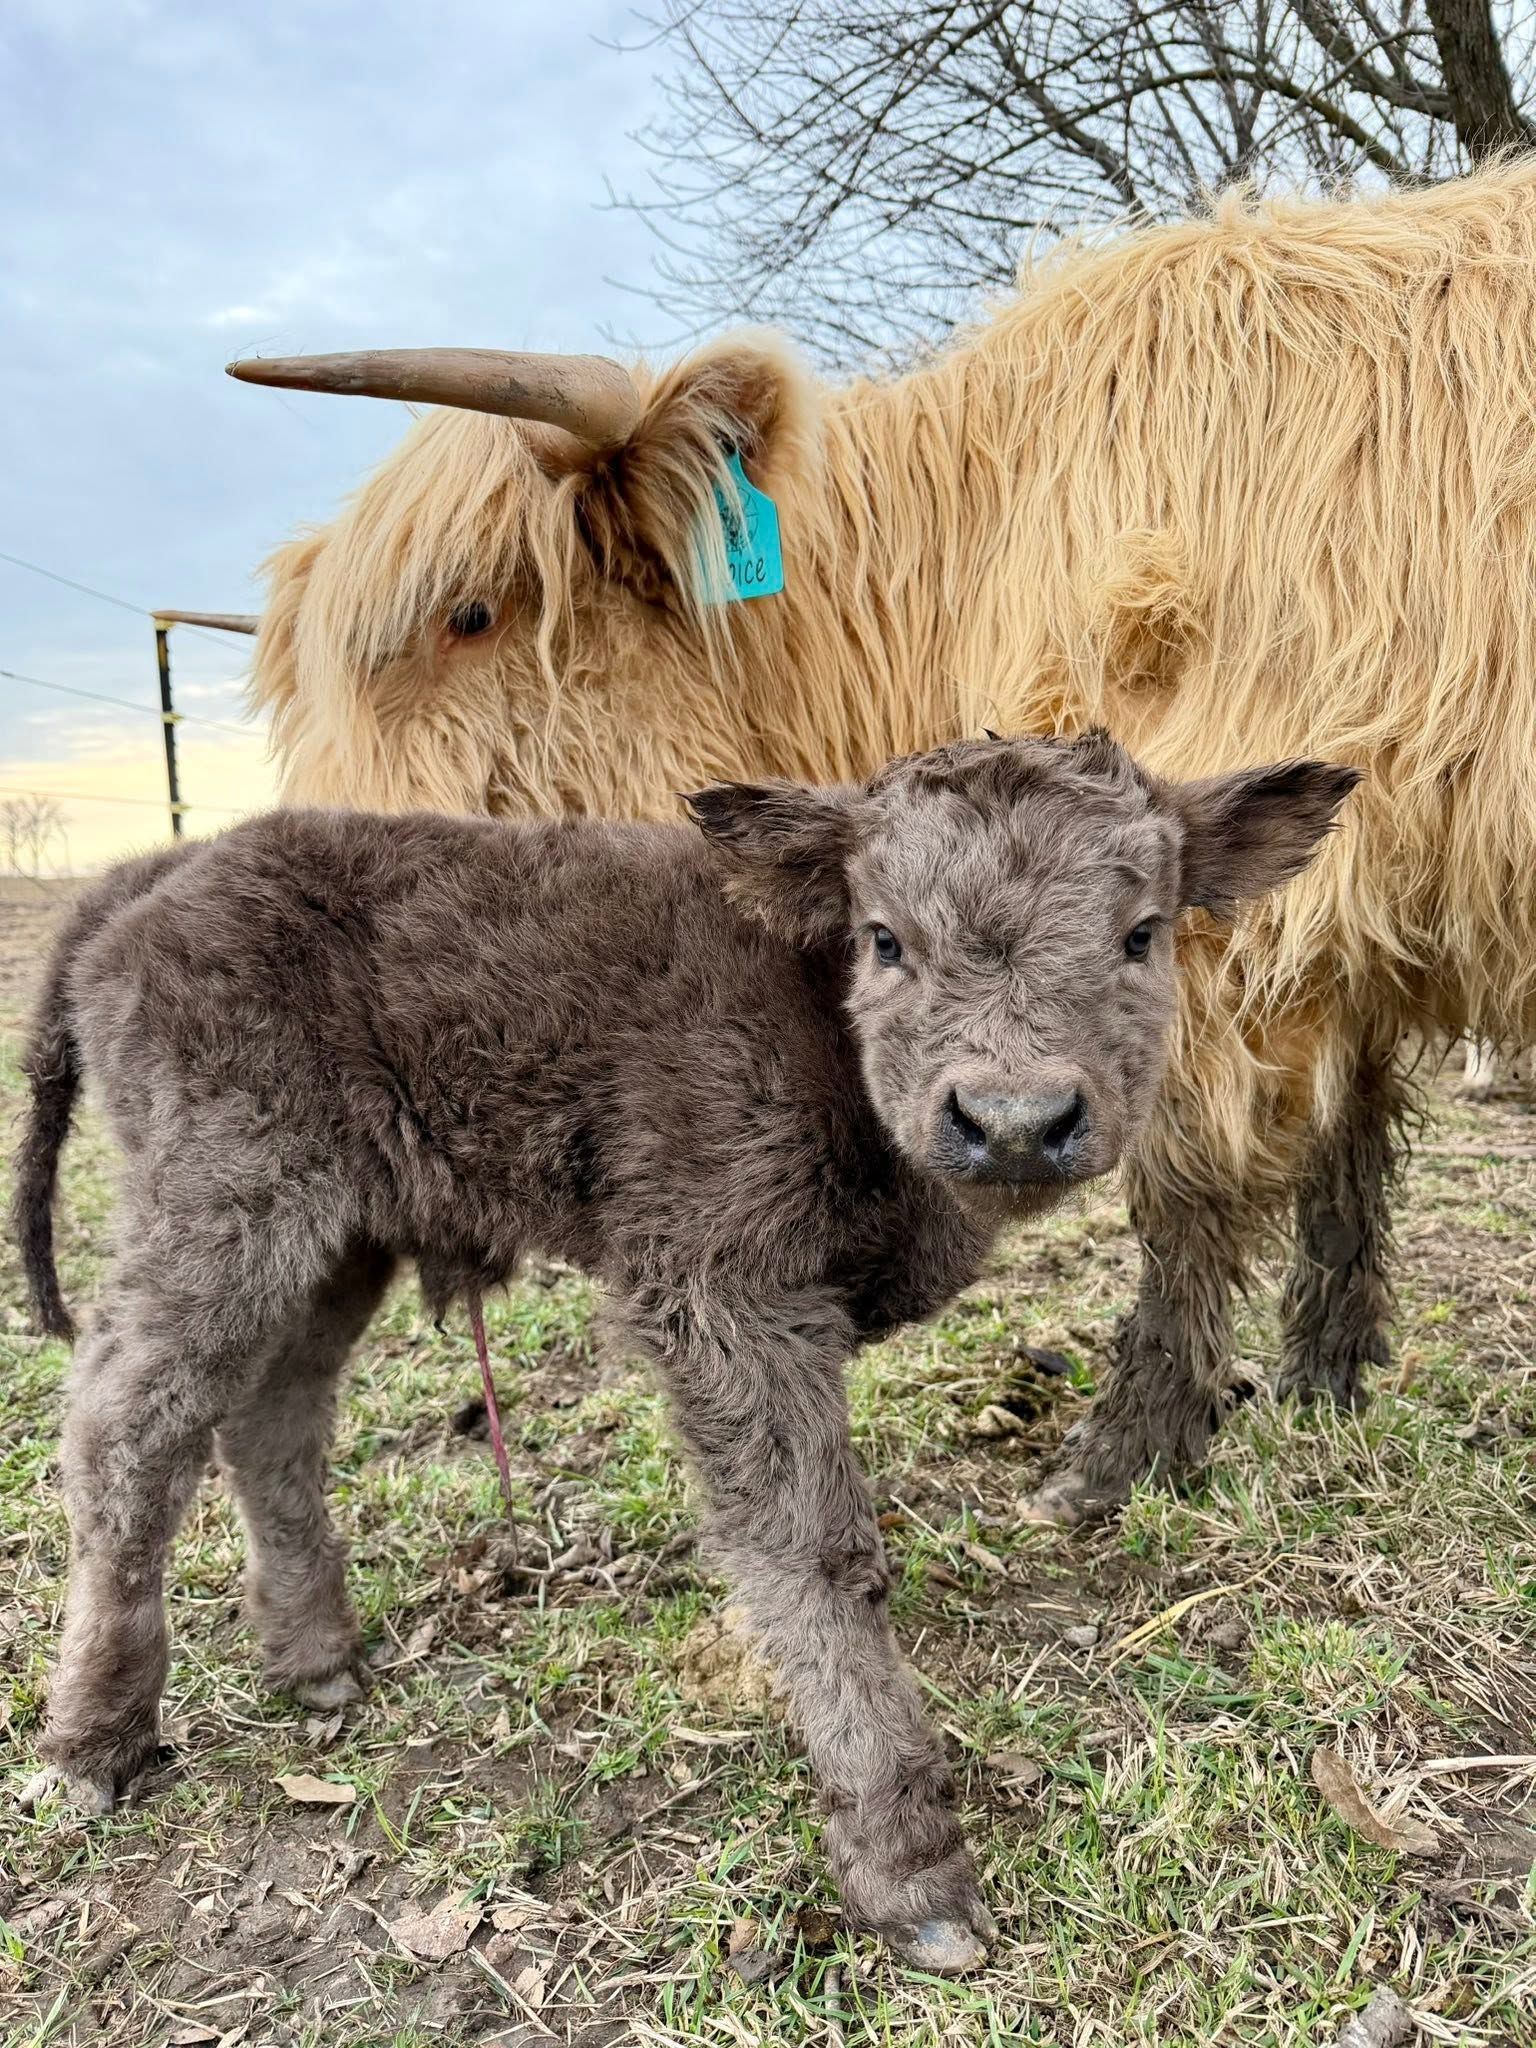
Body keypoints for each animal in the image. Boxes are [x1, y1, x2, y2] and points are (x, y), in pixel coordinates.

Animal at [232, 162, 1536, 1522]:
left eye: (472, 613)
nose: (289, 875)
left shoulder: (1228, 919)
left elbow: (1185, 1181)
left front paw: (1124, 1454)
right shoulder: (1350, 918)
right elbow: (1347, 1143)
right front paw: (1324, 1380)